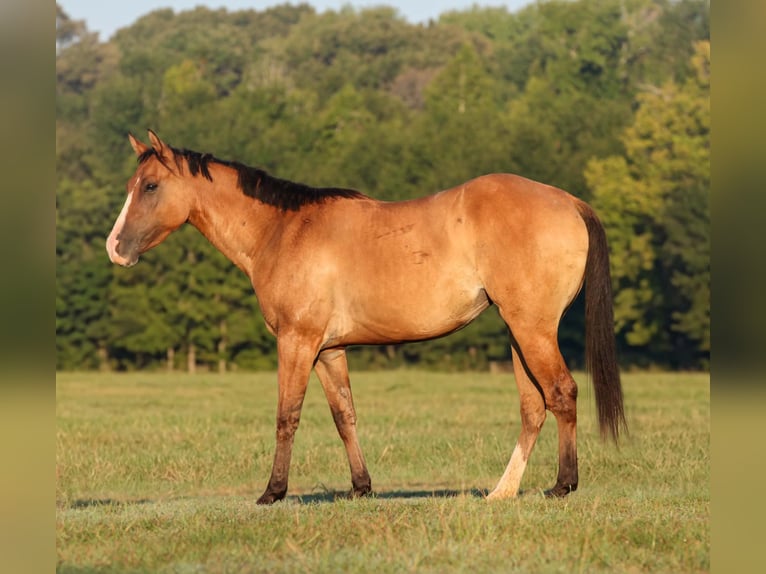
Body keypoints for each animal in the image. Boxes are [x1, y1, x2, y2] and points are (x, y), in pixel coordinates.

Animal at [107, 130, 626, 504]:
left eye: (150, 186)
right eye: (131, 185)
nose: (115, 248)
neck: (284, 231)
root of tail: (569, 201)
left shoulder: (297, 342)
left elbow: (287, 416)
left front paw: (273, 492)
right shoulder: (329, 351)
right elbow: (345, 416)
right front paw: (361, 488)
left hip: (532, 329)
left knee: (561, 393)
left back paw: (562, 485)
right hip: (518, 332)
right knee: (533, 407)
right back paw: (503, 491)